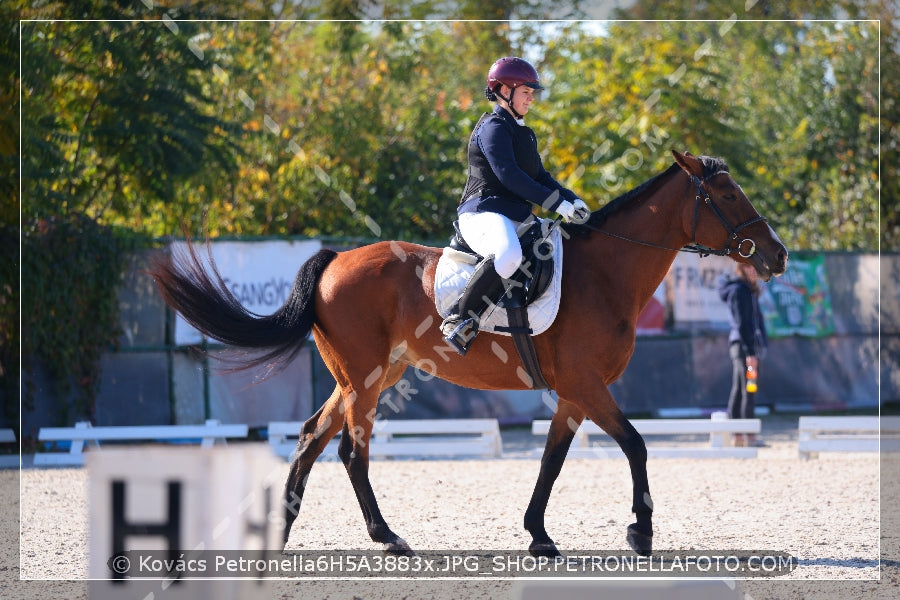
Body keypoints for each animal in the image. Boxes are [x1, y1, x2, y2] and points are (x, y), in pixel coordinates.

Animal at [149, 149, 788, 556]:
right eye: (727, 193)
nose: (778, 255)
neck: (605, 274)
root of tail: (334, 259)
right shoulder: (587, 386)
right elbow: (635, 444)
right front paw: (641, 533)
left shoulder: (573, 395)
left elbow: (552, 461)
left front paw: (539, 535)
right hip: (366, 380)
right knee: (352, 453)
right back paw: (388, 538)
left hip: (366, 376)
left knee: (311, 436)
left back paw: (279, 533)